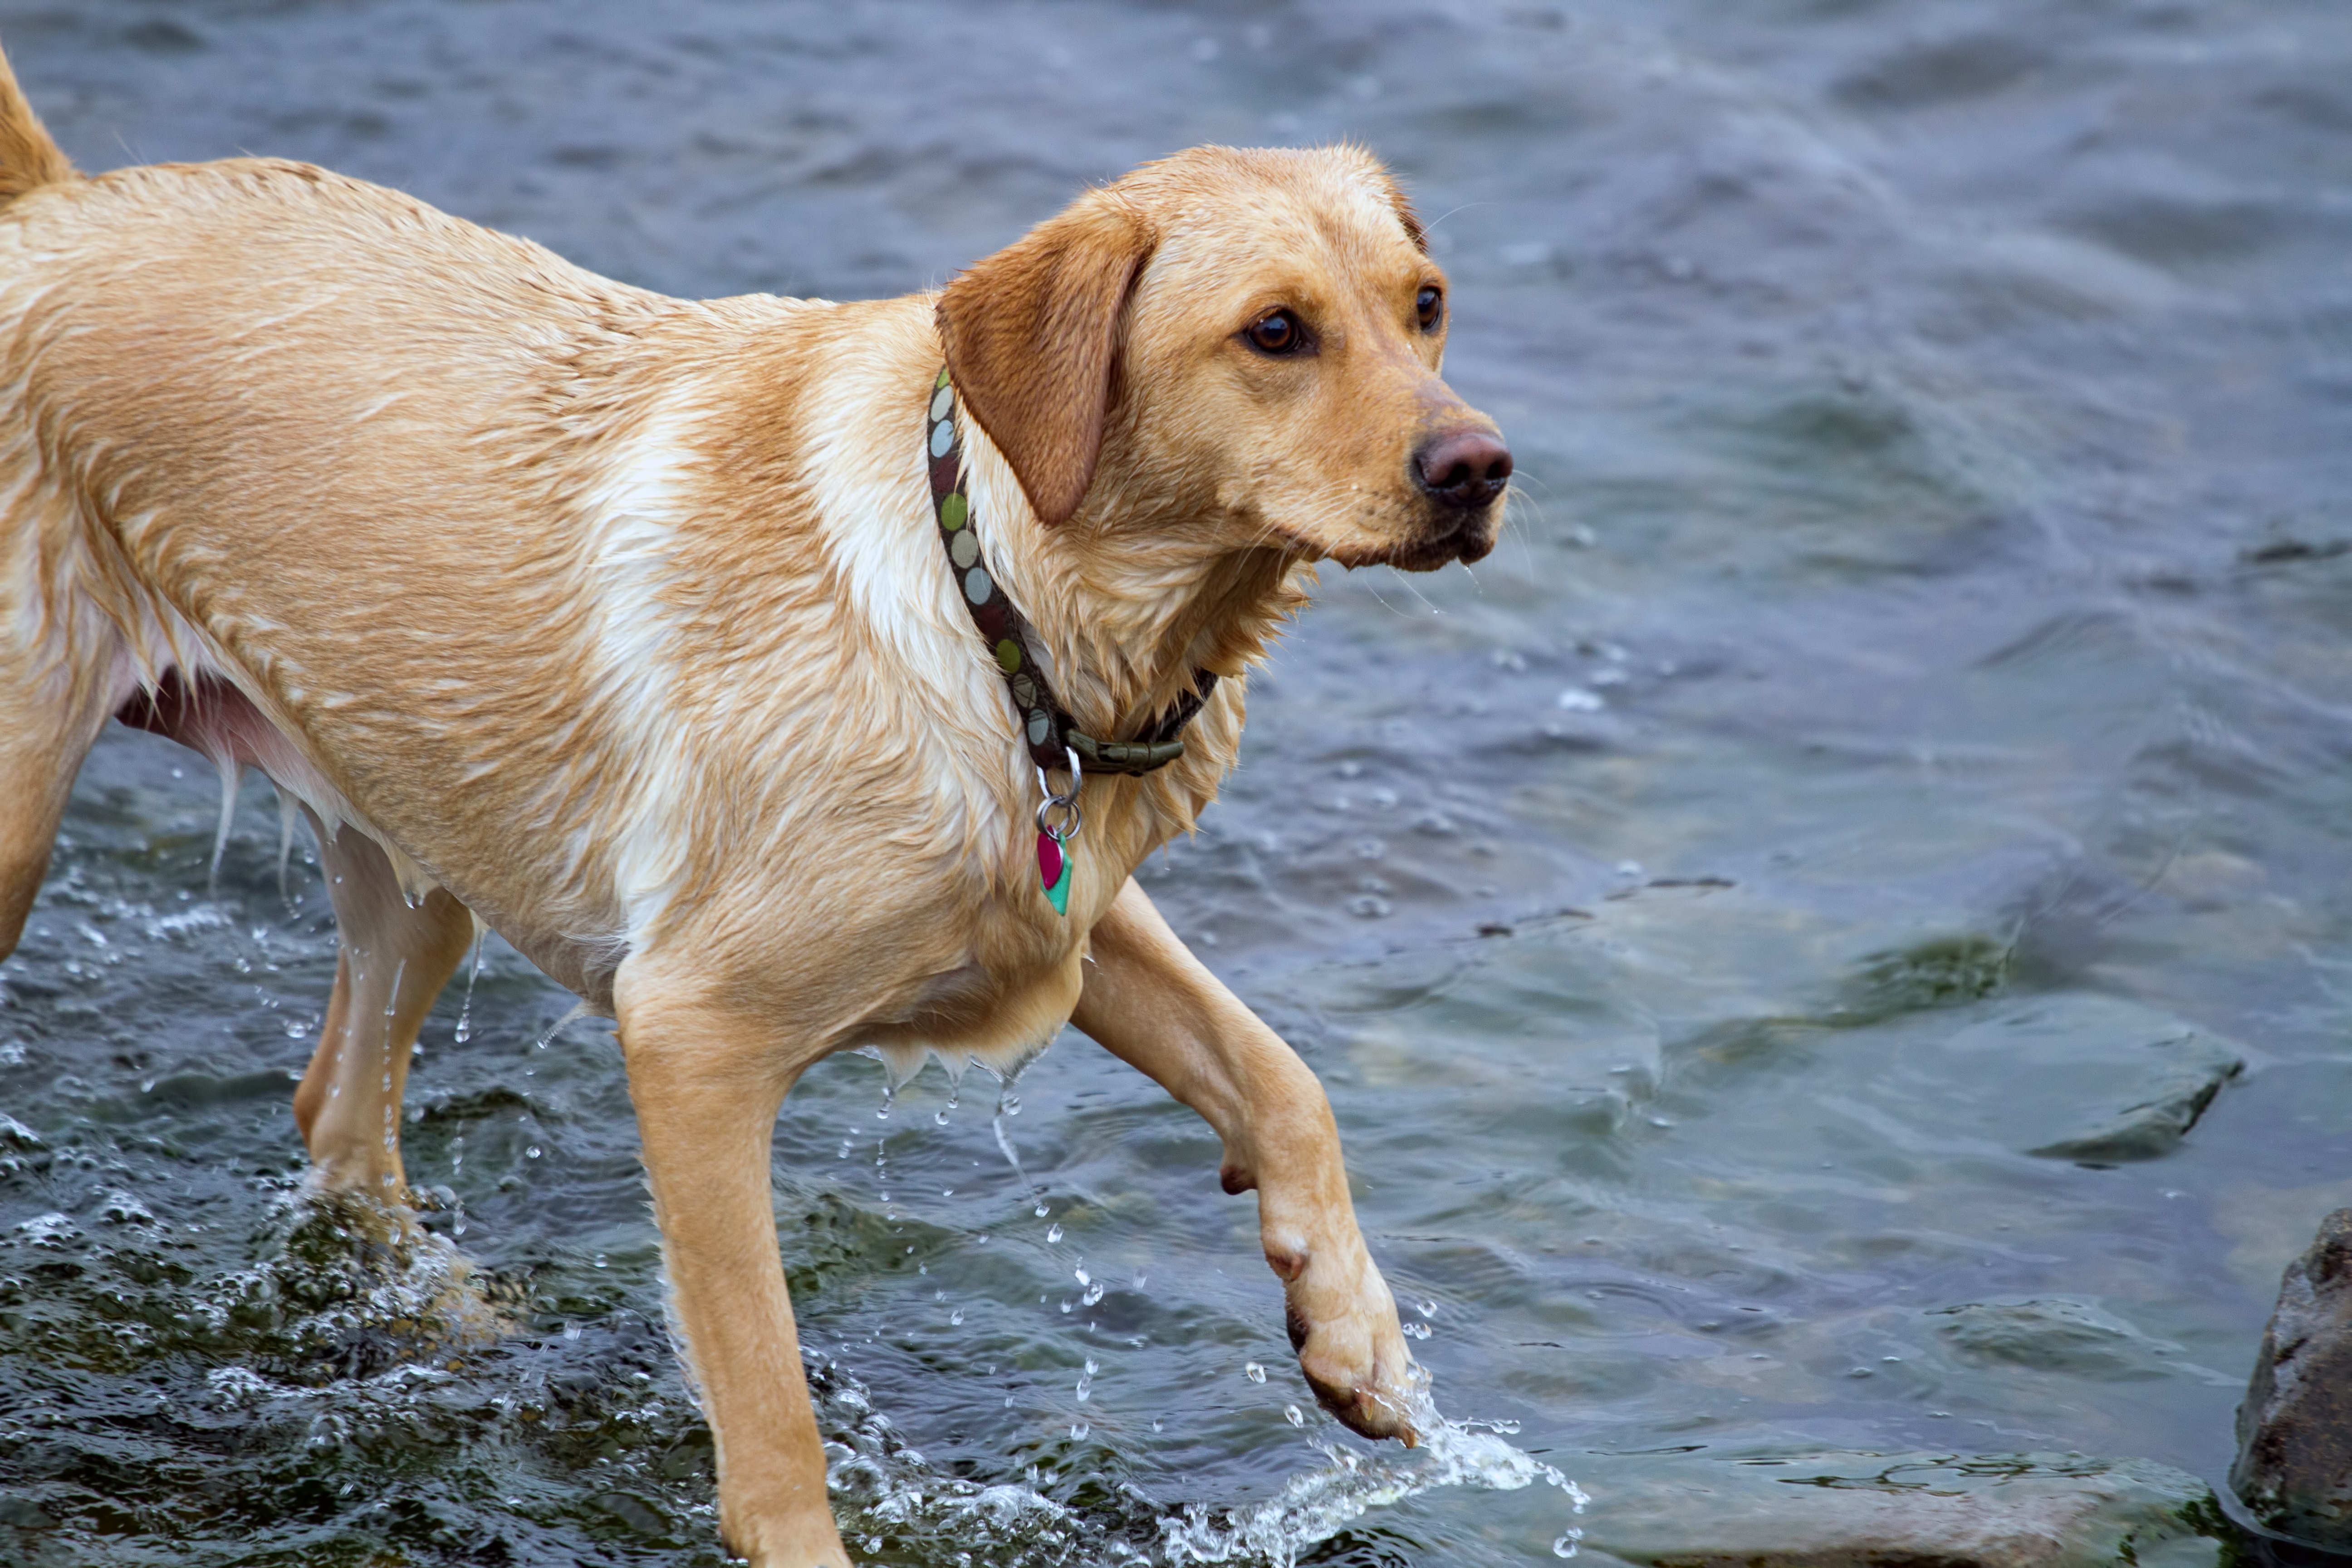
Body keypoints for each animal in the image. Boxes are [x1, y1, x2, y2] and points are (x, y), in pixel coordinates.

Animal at [0, 43, 1505, 1561]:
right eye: (1276, 333)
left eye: (1426, 306)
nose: (1480, 469)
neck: (995, 604)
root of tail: (53, 208)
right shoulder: (693, 1039)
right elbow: (769, 1401)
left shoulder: (1057, 903)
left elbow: (1279, 1074)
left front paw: (1358, 1337)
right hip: (31, 823)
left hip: (422, 821)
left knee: (340, 1119)